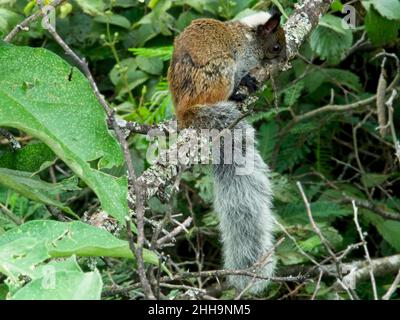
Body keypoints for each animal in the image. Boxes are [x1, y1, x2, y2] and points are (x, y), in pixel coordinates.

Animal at [167, 8, 286, 294]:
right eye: (277, 46)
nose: (287, 58)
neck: (248, 35)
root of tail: (185, 112)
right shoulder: (243, 58)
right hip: (221, 70)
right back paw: (236, 93)